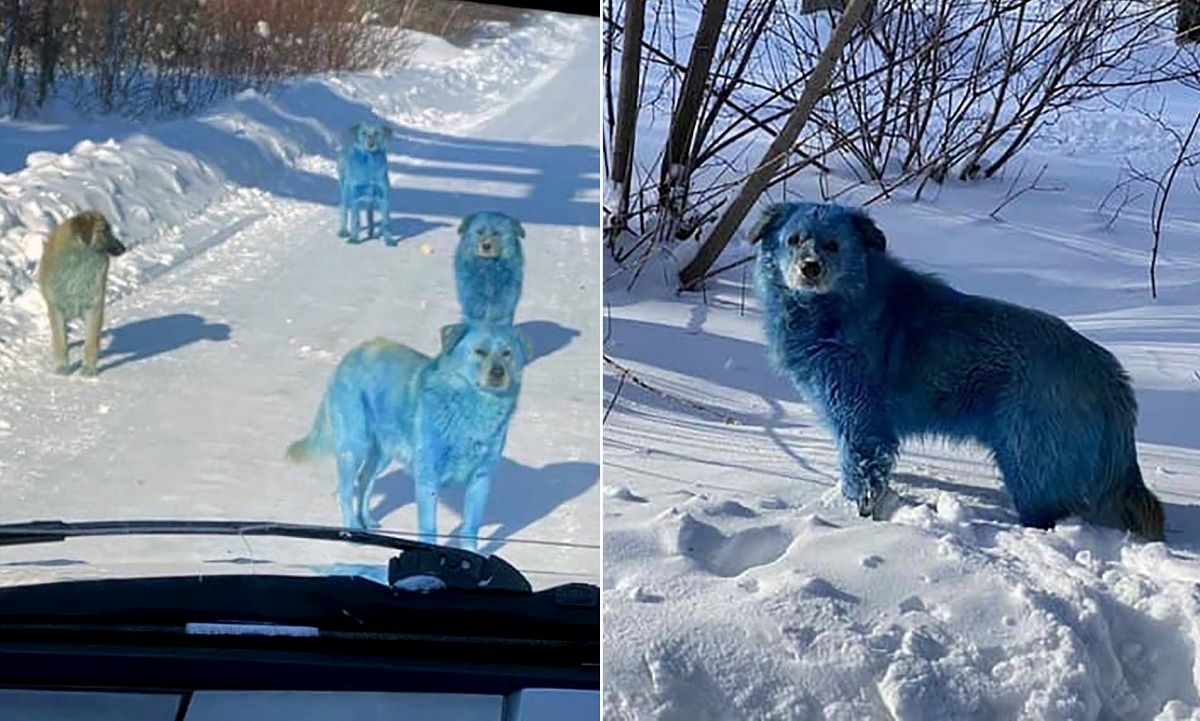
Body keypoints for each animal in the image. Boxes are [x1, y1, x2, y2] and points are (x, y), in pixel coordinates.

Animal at [37, 209, 126, 374]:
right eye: (103, 230)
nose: (123, 248)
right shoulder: (56, 308)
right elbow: (60, 341)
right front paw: (62, 367)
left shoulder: (94, 306)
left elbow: (90, 342)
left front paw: (88, 370)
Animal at [285, 321, 530, 551]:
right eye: (480, 351)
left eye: (507, 353)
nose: (498, 373)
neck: (469, 408)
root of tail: (355, 351)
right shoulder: (428, 477)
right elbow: (429, 527)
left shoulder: (481, 477)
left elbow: (471, 527)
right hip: (355, 446)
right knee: (344, 492)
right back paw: (352, 533)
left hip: (382, 453)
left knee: (365, 482)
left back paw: (367, 524)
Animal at [748, 199, 1161, 537]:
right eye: (794, 239)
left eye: (832, 244)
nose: (810, 268)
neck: (840, 306)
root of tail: (1108, 374)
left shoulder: (860, 420)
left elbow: (861, 472)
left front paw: (856, 518)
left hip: (1026, 461)